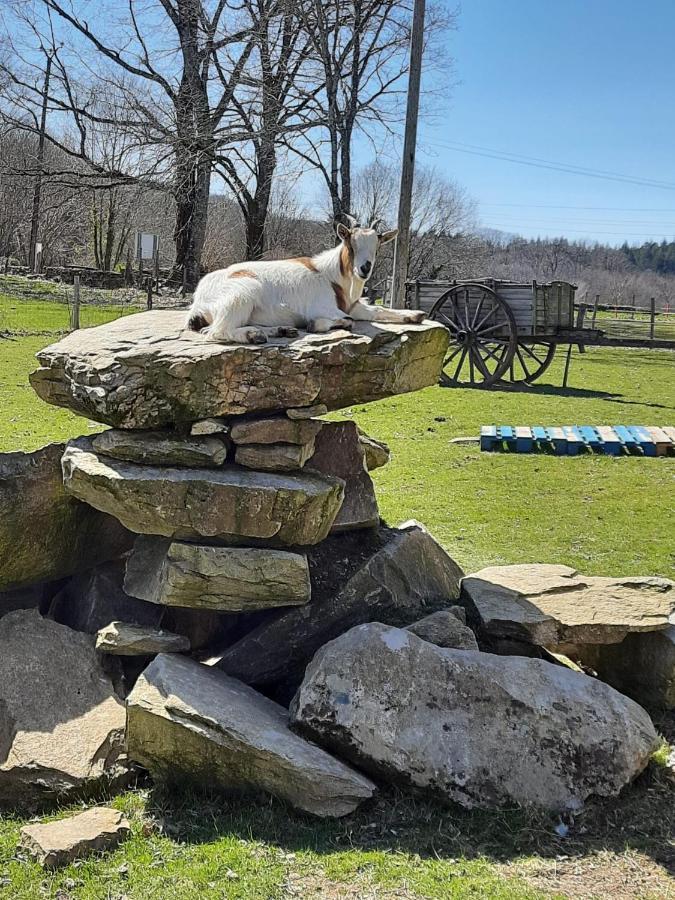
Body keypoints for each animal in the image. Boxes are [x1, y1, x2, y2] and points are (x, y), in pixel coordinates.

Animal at [185, 219, 428, 344]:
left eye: (377, 246)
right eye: (351, 243)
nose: (364, 268)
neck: (332, 276)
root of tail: (198, 299)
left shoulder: (353, 306)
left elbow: (376, 311)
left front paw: (416, 314)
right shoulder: (324, 308)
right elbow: (345, 320)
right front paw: (315, 325)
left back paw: (280, 330)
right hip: (244, 292)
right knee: (216, 331)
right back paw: (254, 335)